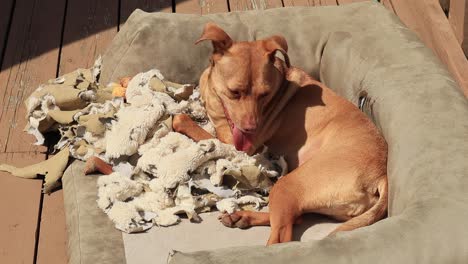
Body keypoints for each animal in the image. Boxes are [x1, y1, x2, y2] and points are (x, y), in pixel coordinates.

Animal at [173, 22, 388, 245]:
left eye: (264, 94)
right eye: (235, 92)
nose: (253, 128)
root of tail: (380, 176)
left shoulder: (237, 147)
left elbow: (184, 121)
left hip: (288, 185)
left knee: (282, 236)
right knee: (296, 218)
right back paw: (241, 217)